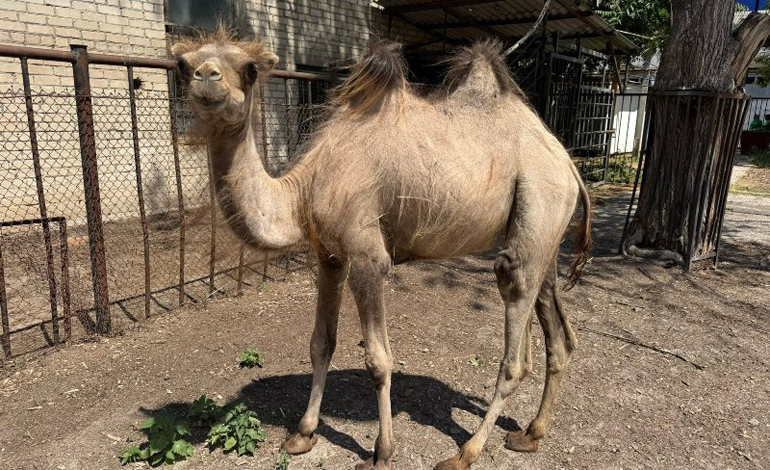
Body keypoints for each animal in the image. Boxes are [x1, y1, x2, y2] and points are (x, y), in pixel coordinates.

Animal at [172, 31, 592, 470]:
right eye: (183, 66)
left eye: (250, 69)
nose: (207, 76)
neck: (305, 189)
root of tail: (567, 162)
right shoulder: (329, 257)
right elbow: (321, 343)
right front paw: (302, 434)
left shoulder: (367, 258)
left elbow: (377, 360)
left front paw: (382, 452)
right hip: (544, 235)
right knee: (558, 333)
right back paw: (531, 433)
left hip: (538, 199)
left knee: (515, 336)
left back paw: (466, 452)